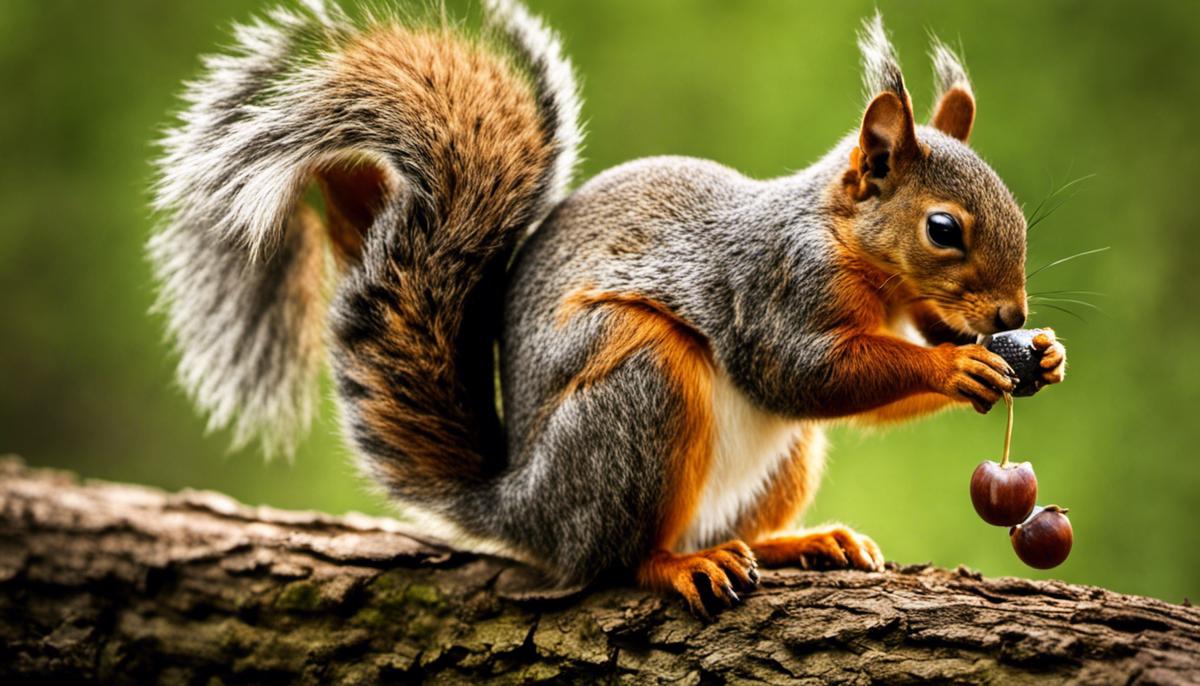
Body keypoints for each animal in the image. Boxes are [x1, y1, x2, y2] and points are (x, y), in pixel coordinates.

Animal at [152, 0, 1070, 618]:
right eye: (943, 229)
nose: (1008, 315)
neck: (856, 256)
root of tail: (522, 507)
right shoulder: (773, 288)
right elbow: (803, 372)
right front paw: (955, 363)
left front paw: (1043, 353)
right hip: (640, 383)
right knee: (618, 559)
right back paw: (679, 566)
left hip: (781, 457)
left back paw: (801, 544)